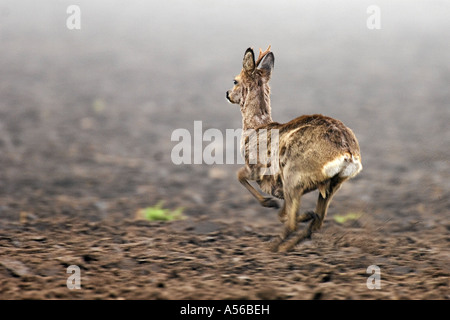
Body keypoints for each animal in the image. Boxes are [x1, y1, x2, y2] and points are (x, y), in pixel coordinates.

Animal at [225, 46, 362, 252]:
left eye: (235, 80)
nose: (227, 93)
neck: (256, 128)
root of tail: (348, 154)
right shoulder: (280, 184)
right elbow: (285, 211)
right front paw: (301, 213)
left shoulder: (258, 168)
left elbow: (239, 176)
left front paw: (269, 203)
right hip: (333, 184)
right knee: (318, 221)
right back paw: (293, 237)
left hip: (294, 174)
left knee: (292, 224)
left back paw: (274, 247)